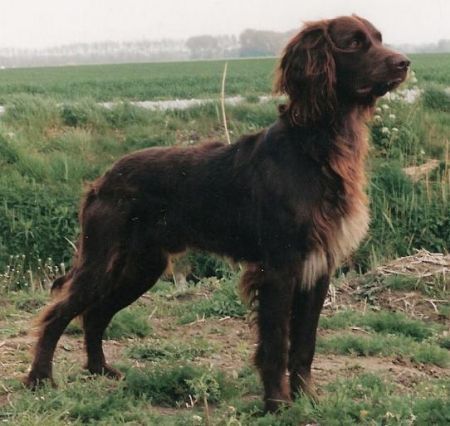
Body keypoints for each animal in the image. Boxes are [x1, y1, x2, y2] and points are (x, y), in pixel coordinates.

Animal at [25, 15, 412, 412]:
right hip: (102, 260)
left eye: (379, 38)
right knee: (58, 313)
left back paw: (100, 370)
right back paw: (40, 379)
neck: (315, 147)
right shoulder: (279, 267)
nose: (405, 63)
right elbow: (276, 344)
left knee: (95, 314)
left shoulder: (318, 268)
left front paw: (308, 398)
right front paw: (277, 403)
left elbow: (305, 344)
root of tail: (102, 179)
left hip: (140, 267)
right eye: (354, 43)